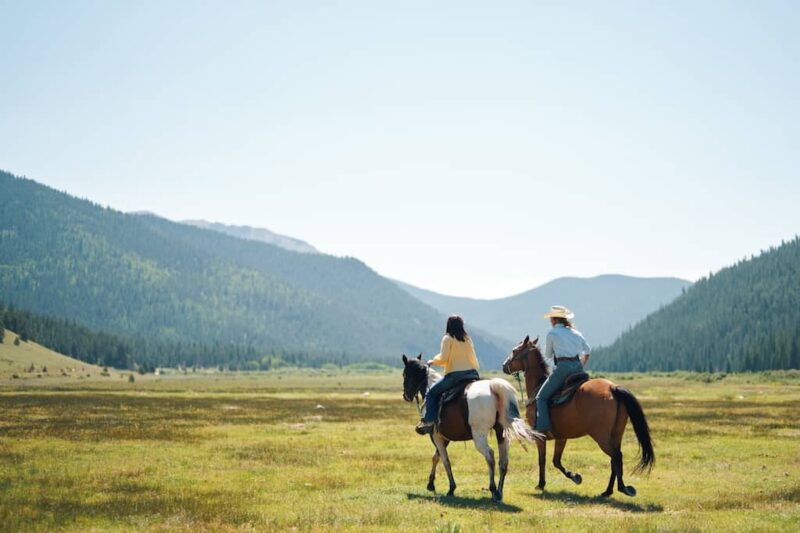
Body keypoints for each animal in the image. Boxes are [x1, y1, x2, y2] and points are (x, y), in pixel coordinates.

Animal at [400, 354, 544, 498]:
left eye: (405, 374)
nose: (405, 395)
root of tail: (493, 387)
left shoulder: (436, 436)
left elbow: (445, 460)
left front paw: (451, 488)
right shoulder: (445, 437)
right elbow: (436, 457)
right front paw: (431, 484)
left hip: (479, 436)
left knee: (490, 456)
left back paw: (493, 489)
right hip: (502, 433)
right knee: (503, 460)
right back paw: (499, 492)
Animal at [500, 334, 656, 496]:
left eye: (514, 350)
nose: (504, 365)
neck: (537, 388)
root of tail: (613, 388)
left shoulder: (540, 436)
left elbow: (542, 460)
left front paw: (541, 484)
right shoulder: (561, 437)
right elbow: (556, 461)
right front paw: (575, 477)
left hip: (601, 437)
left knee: (616, 456)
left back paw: (622, 488)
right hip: (616, 434)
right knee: (615, 459)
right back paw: (608, 491)